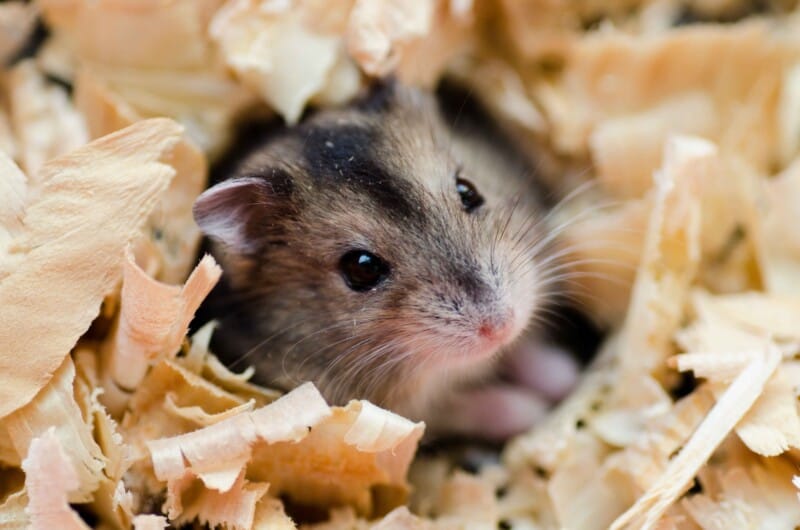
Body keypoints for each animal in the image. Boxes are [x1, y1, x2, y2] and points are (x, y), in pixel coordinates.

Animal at [194, 79, 580, 438]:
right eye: (361, 268)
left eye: (468, 191)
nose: (501, 327)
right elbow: (473, 407)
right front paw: (537, 409)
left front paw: (562, 375)